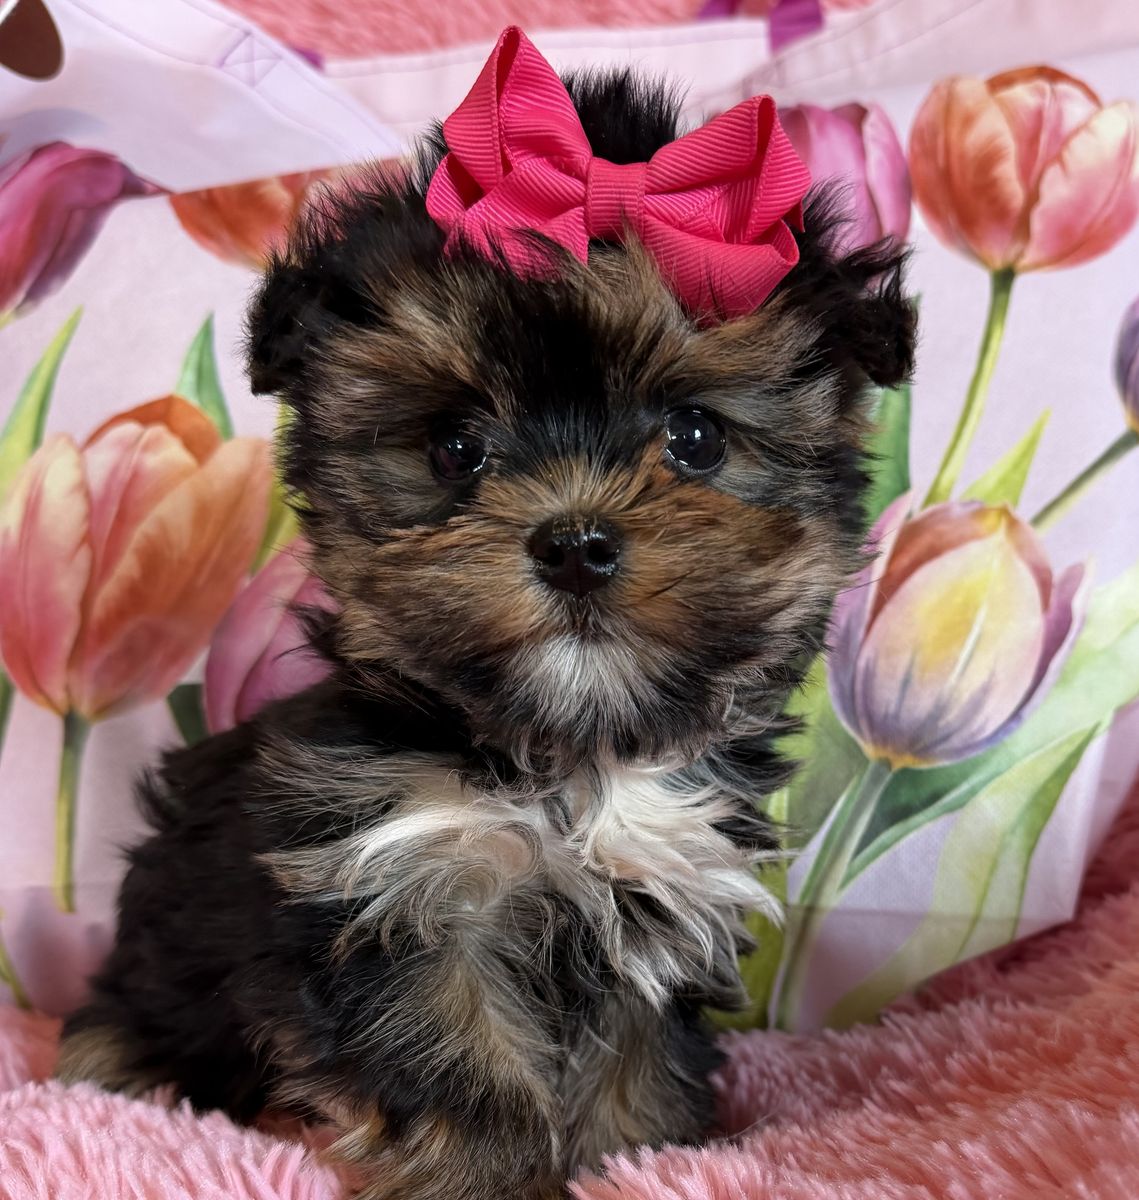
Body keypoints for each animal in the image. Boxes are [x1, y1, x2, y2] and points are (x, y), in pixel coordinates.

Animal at [57, 29, 914, 1200]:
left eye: (693, 436)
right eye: (455, 446)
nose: (575, 543)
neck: (567, 756)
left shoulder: (660, 896)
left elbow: (636, 1058)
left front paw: (636, 1156)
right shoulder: (400, 888)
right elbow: (456, 1062)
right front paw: (487, 1176)